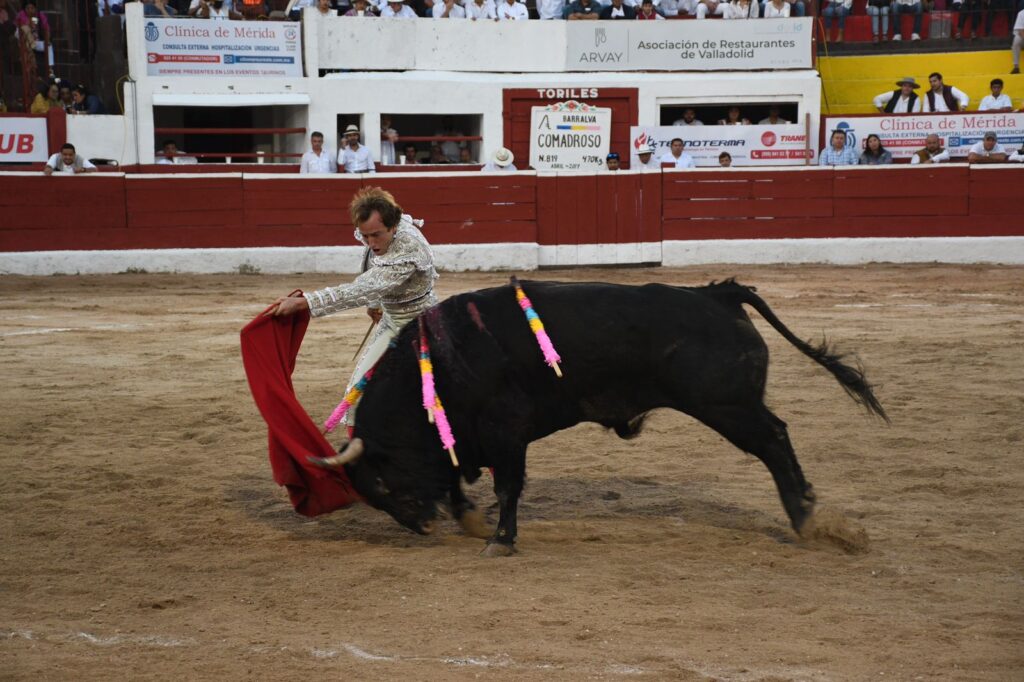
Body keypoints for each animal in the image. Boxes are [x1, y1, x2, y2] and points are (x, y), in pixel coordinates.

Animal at [329, 278, 888, 548]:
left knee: (773, 438)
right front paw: (471, 521)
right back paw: (807, 511)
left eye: (381, 483)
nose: (422, 527)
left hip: (726, 405)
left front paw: (501, 540)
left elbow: (507, 486)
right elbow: (454, 476)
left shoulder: (506, 430)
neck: (439, 362)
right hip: (730, 404)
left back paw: (805, 516)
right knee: (776, 437)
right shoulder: (465, 436)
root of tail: (719, 294)